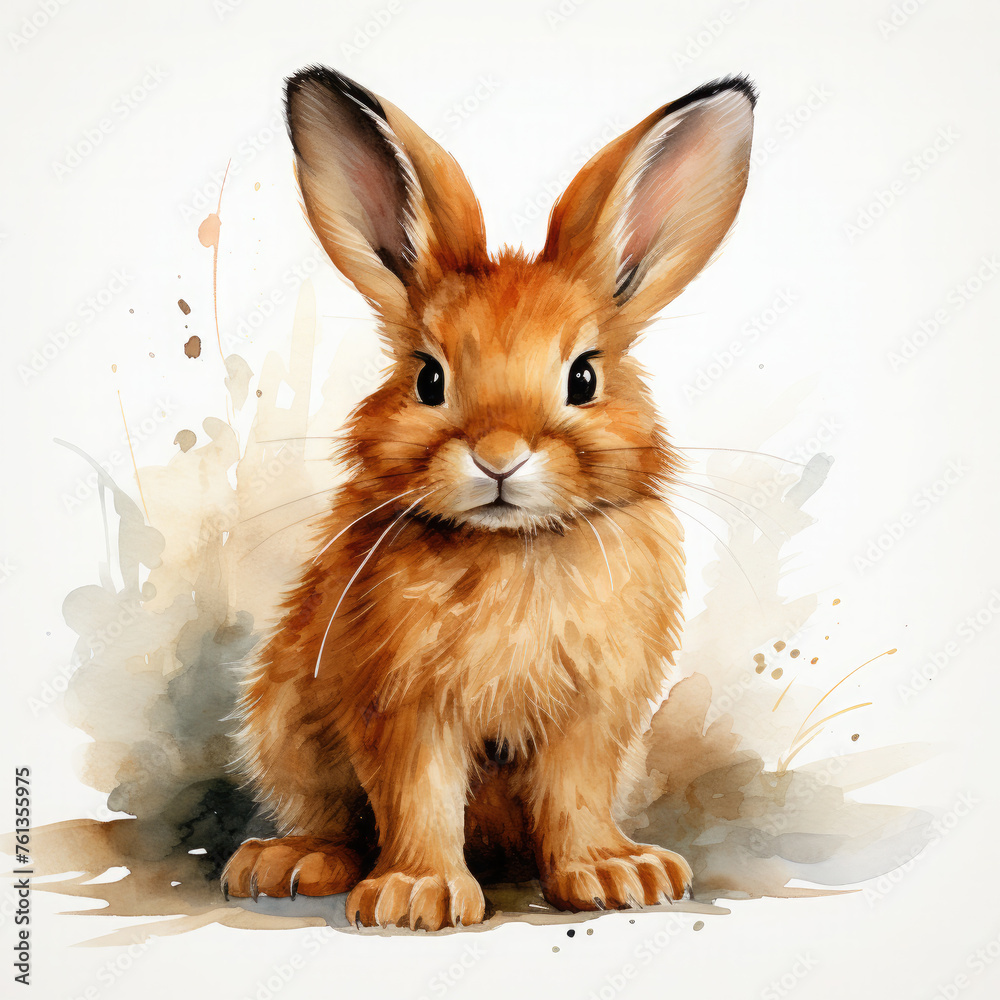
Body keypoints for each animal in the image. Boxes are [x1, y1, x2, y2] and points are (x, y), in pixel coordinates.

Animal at [222, 65, 755, 930]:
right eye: (428, 378)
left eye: (584, 377)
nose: (498, 457)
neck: (514, 545)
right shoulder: (403, 705)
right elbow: (420, 794)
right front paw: (417, 896)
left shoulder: (592, 714)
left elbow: (574, 795)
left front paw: (614, 875)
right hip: (284, 723)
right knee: (331, 820)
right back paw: (289, 862)